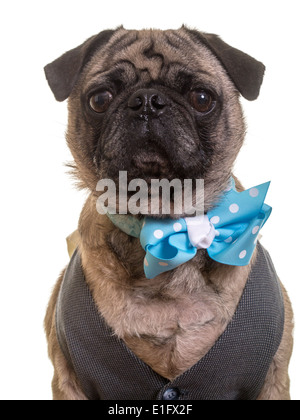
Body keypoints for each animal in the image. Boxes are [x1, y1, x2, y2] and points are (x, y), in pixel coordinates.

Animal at [44, 26, 292, 400]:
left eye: (202, 98)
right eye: (99, 100)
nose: (147, 101)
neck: (168, 225)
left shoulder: (273, 381)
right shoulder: (69, 382)